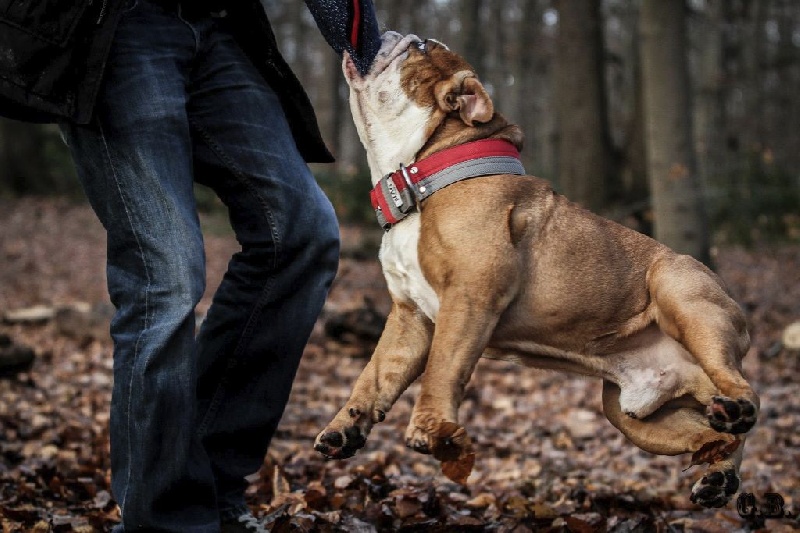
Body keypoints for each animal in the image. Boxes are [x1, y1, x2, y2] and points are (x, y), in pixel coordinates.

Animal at [314, 31, 756, 504]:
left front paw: (429, 427)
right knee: (717, 437)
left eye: (421, 48)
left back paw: (737, 412)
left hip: (681, 294)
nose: (396, 33)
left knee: (744, 392)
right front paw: (345, 426)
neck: (423, 174)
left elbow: (442, 368)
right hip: (634, 416)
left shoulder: (469, 297)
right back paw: (719, 474)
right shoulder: (410, 319)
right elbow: (375, 376)